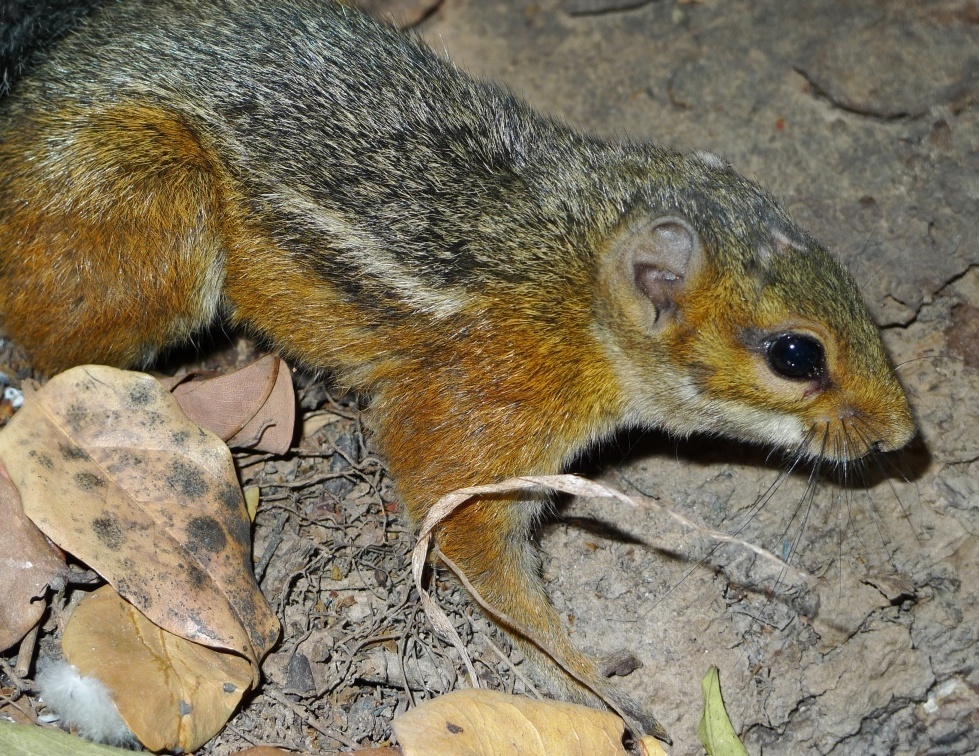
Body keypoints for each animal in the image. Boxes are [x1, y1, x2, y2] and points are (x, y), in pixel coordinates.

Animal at [0, 0, 915, 740]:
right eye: (796, 355)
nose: (904, 435)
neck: (573, 282)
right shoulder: (475, 424)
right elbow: (487, 562)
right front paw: (602, 690)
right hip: (157, 207)